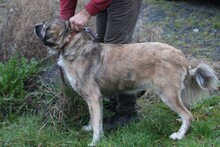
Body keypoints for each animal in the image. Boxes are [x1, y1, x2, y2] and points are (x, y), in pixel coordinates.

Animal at [34, 18, 218, 146]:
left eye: (46, 27)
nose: (35, 26)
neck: (74, 47)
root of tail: (180, 55)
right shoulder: (93, 99)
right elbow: (94, 119)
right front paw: (89, 128)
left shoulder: (93, 97)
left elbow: (97, 123)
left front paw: (95, 141)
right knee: (186, 111)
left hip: (167, 93)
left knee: (188, 115)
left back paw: (179, 135)